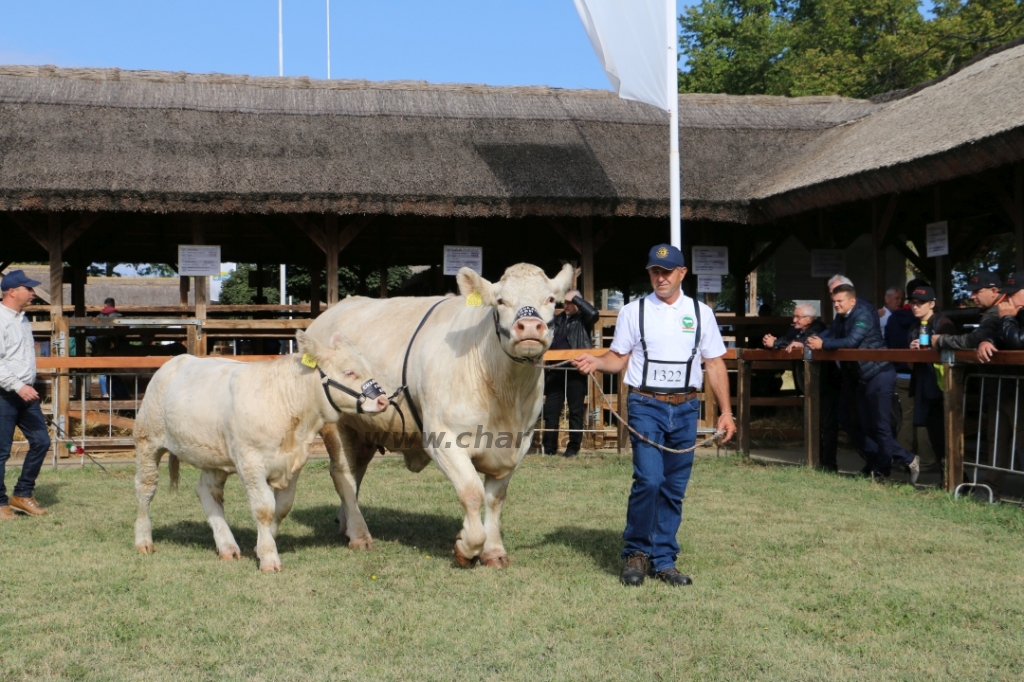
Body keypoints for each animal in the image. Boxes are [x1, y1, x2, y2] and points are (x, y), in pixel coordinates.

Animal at [134, 329, 389, 569]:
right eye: (349, 372)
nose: (383, 401)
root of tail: (177, 361)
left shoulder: (294, 462)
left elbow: (282, 507)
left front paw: (260, 548)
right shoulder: (251, 463)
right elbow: (264, 509)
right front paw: (269, 557)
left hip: (215, 456)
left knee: (208, 492)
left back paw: (227, 547)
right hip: (147, 441)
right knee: (145, 488)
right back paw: (143, 541)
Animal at [303, 260, 577, 561]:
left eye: (550, 299)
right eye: (501, 301)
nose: (529, 326)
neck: (505, 394)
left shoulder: (517, 444)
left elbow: (495, 499)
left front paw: (493, 550)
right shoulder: (443, 438)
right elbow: (472, 492)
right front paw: (467, 546)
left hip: (363, 429)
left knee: (356, 473)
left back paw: (346, 524)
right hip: (335, 425)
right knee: (343, 475)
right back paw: (360, 535)